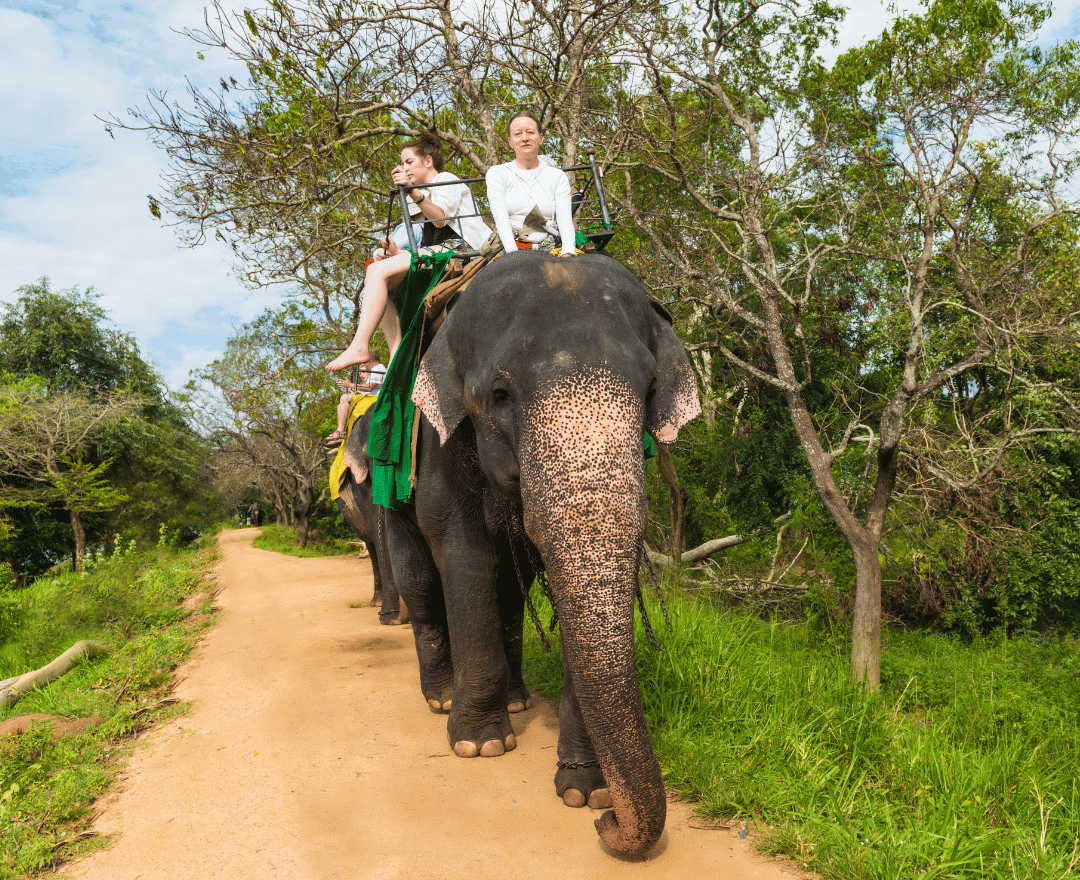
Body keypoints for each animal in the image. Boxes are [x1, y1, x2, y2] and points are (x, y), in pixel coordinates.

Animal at [335, 410, 408, 625]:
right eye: (371, 455)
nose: (398, 617)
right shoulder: (360, 484)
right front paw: (390, 618)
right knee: (371, 544)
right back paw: (376, 603)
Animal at [369, 251, 699, 857]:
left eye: (649, 390)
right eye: (500, 395)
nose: (608, 827)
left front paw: (585, 792)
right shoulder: (438, 447)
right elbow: (466, 556)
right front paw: (478, 746)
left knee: (511, 595)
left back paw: (519, 700)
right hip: (391, 489)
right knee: (422, 584)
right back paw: (442, 698)